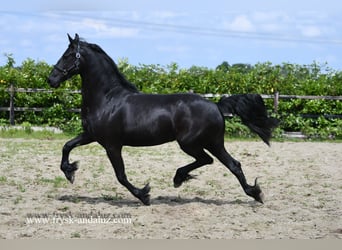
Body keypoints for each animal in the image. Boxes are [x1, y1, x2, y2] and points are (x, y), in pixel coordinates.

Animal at [47, 33, 278, 205]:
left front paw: (144, 195)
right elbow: (67, 146)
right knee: (232, 164)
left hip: (192, 143)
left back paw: (182, 178)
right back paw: (253, 193)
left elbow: (121, 175)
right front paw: (70, 172)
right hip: (211, 143)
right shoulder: (91, 135)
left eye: (68, 55)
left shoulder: (112, 145)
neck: (107, 99)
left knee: (211, 161)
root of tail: (216, 105)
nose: (51, 79)